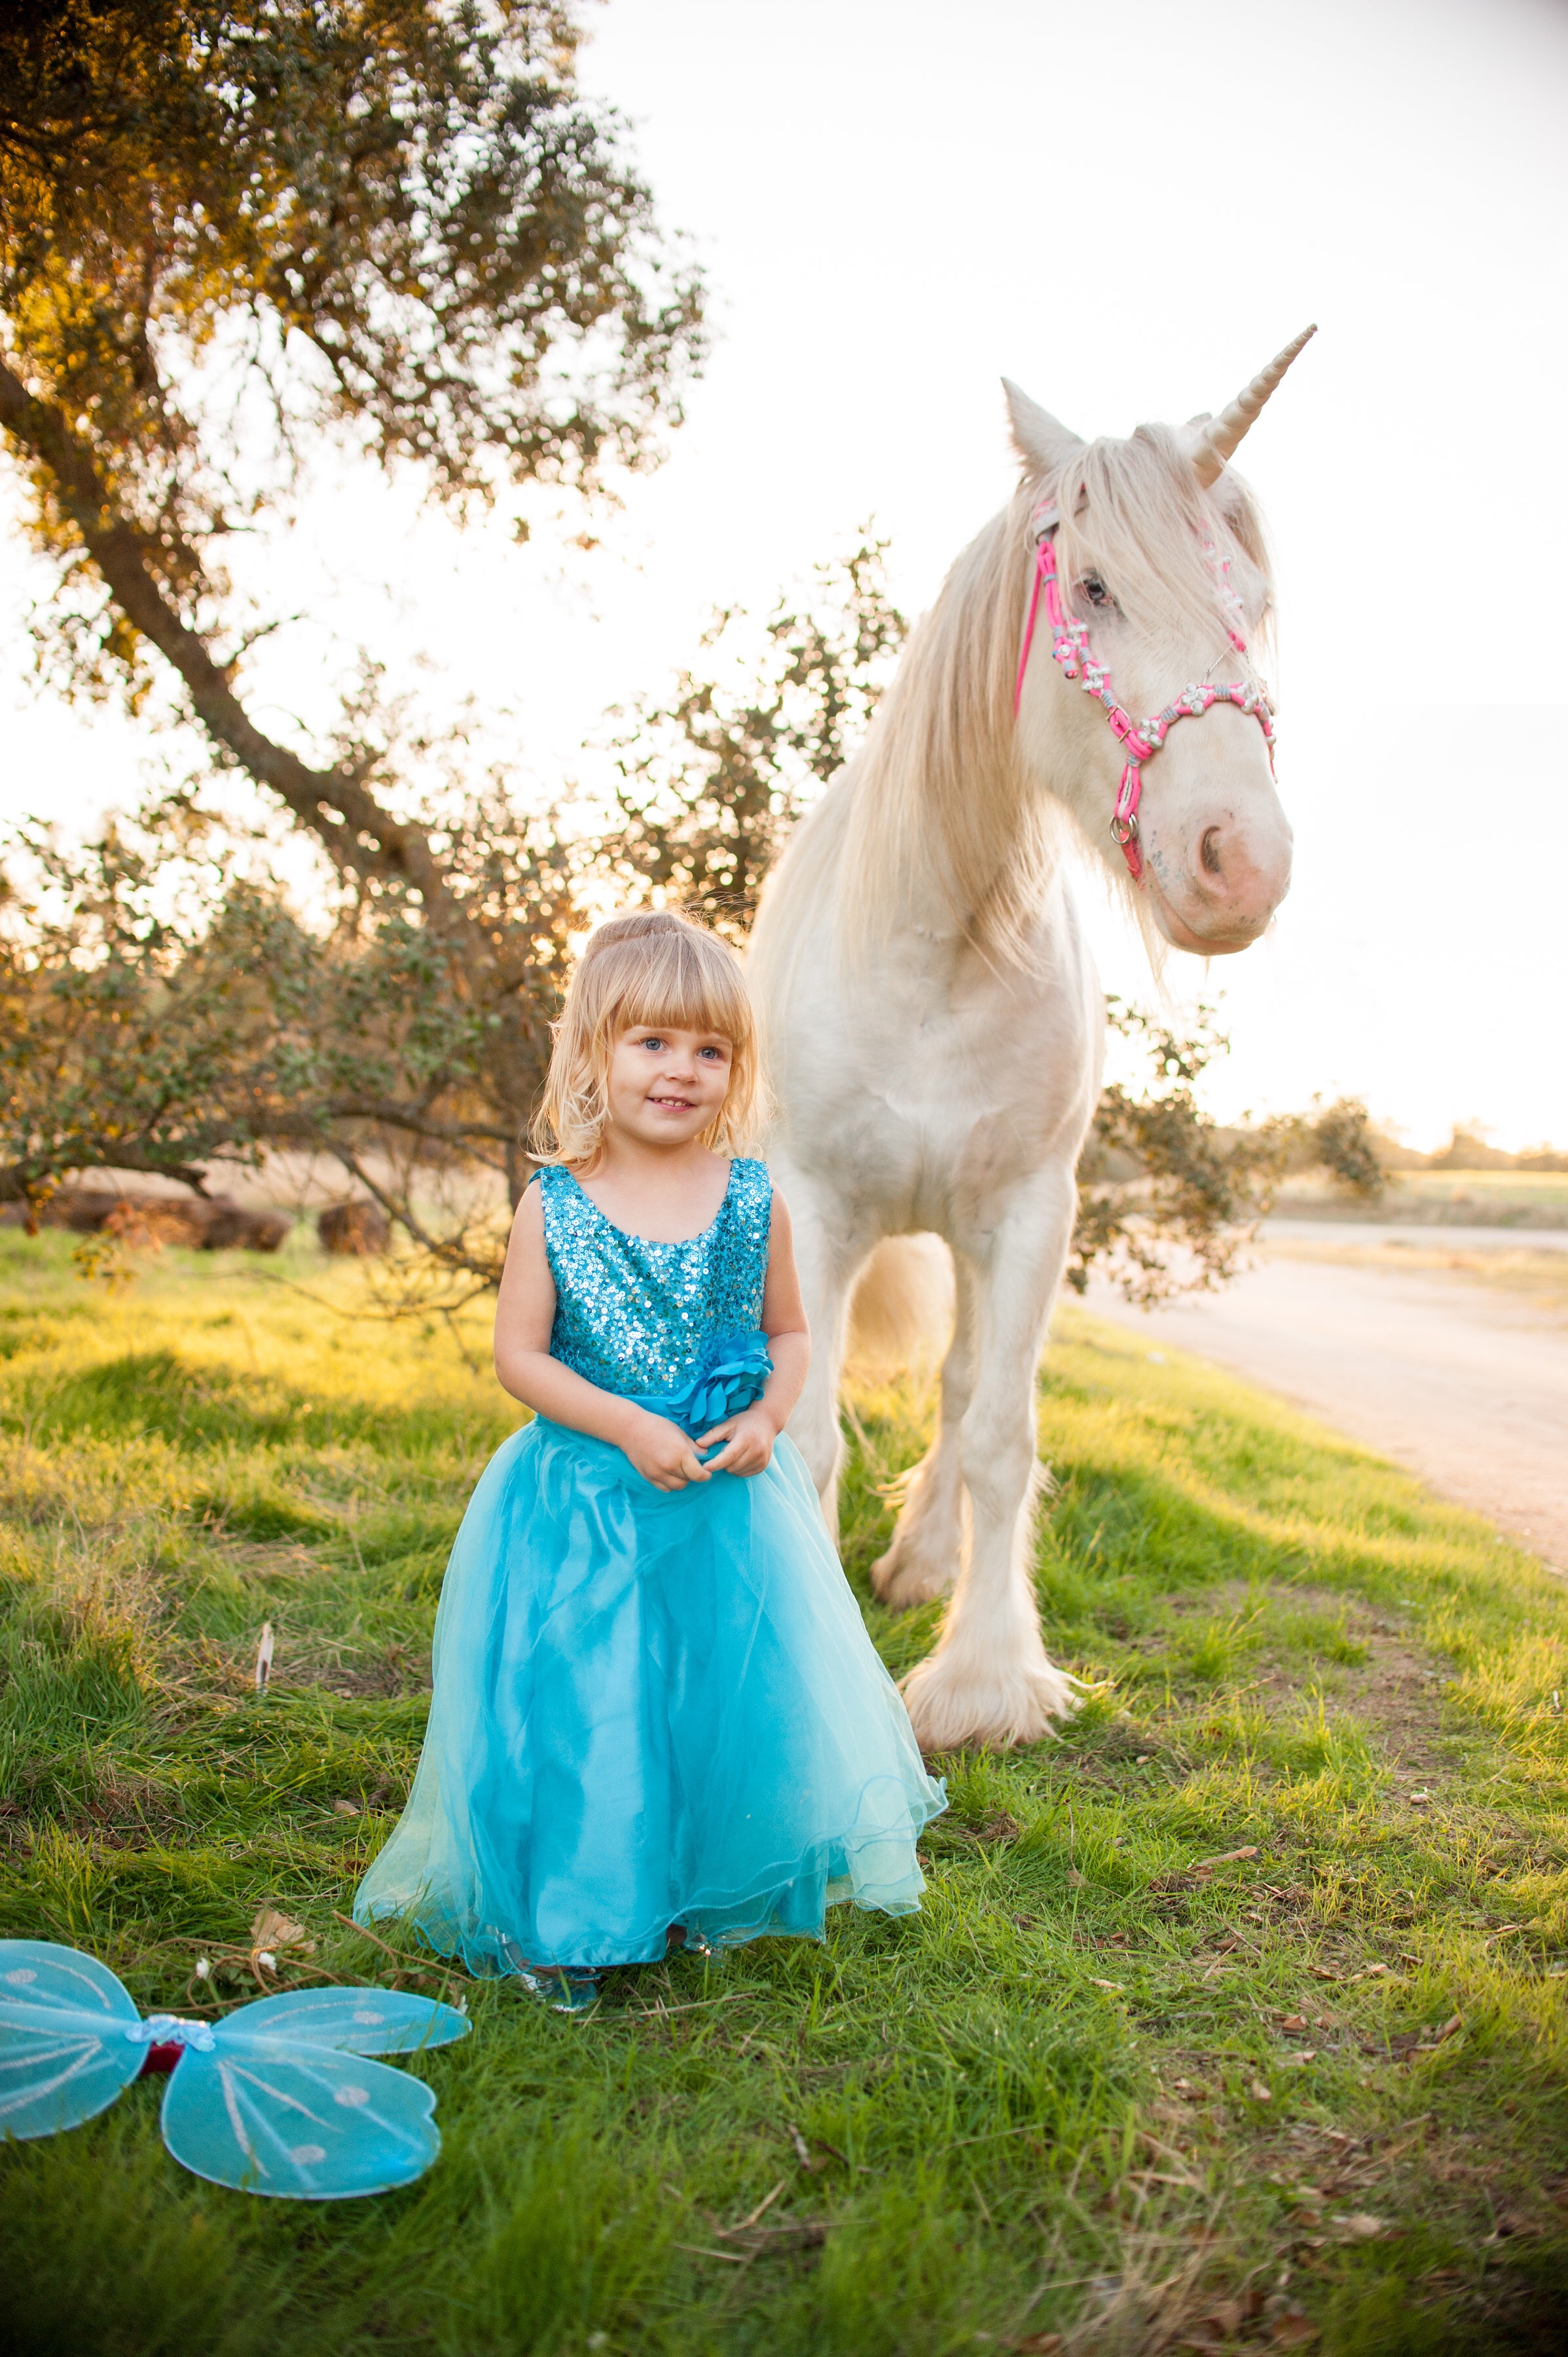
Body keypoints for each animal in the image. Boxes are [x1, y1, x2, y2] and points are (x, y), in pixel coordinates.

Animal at [745, 332, 1311, 1753]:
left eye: (1251, 602)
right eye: (1097, 587)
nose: (1245, 863)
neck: (939, 947)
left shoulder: (1025, 1216)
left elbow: (998, 1431)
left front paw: (983, 1682)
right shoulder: (816, 1213)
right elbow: (812, 1434)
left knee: (957, 1401)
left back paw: (926, 1565)